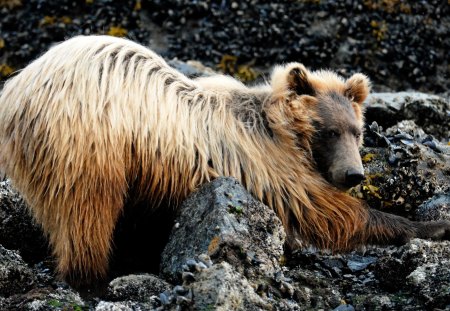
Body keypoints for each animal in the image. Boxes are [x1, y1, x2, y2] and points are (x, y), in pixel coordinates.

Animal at [0, 35, 448, 284]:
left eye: (357, 129)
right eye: (329, 130)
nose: (354, 174)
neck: (283, 132)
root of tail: (18, 90)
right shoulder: (265, 162)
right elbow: (320, 210)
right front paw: (430, 225)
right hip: (89, 143)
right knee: (87, 212)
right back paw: (90, 275)